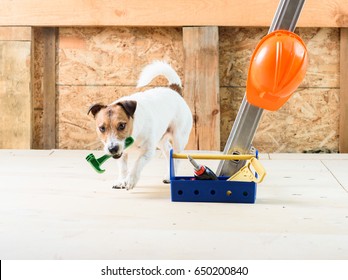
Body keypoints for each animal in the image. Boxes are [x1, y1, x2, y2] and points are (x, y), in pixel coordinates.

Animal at [87, 61, 193, 190]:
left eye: (122, 125)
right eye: (102, 128)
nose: (112, 149)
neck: (134, 132)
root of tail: (174, 90)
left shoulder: (147, 152)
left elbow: (137, 164)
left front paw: (130, 180)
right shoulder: (122, 153)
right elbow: (123, 168)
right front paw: (121, 180)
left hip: (179, 138)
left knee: (176, 157)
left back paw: (169, 176)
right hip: (160, 139)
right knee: (169, 151)